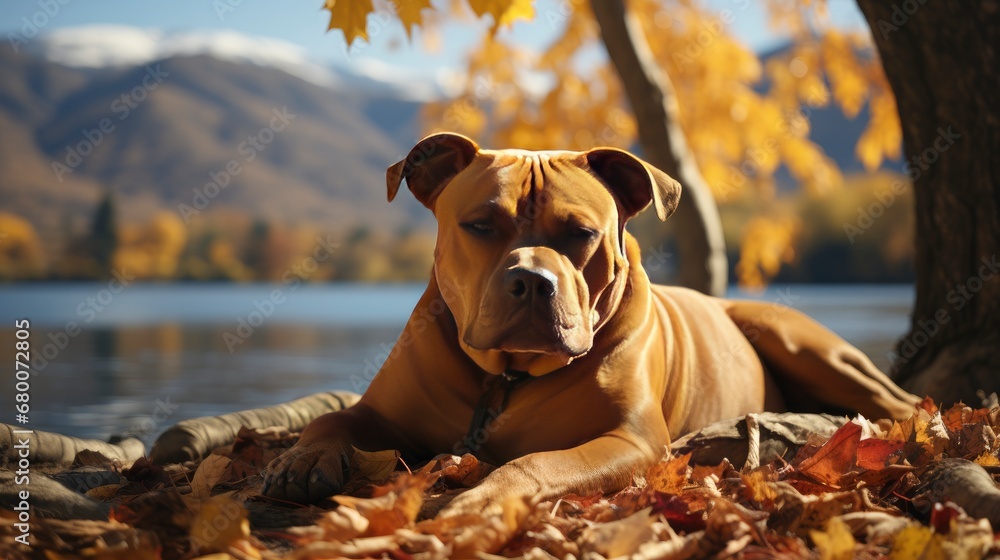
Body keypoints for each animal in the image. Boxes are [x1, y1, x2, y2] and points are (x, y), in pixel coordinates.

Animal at [262, 131, 916, 512]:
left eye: (580, 233)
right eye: (480, 225)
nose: (531, 280)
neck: (504, 377)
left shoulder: (628, 439)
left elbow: (537, 462)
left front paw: (486, 497)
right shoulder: (383, 410)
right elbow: (331, 418)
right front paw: (302, 458)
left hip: (795, 339)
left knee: (899, 404)